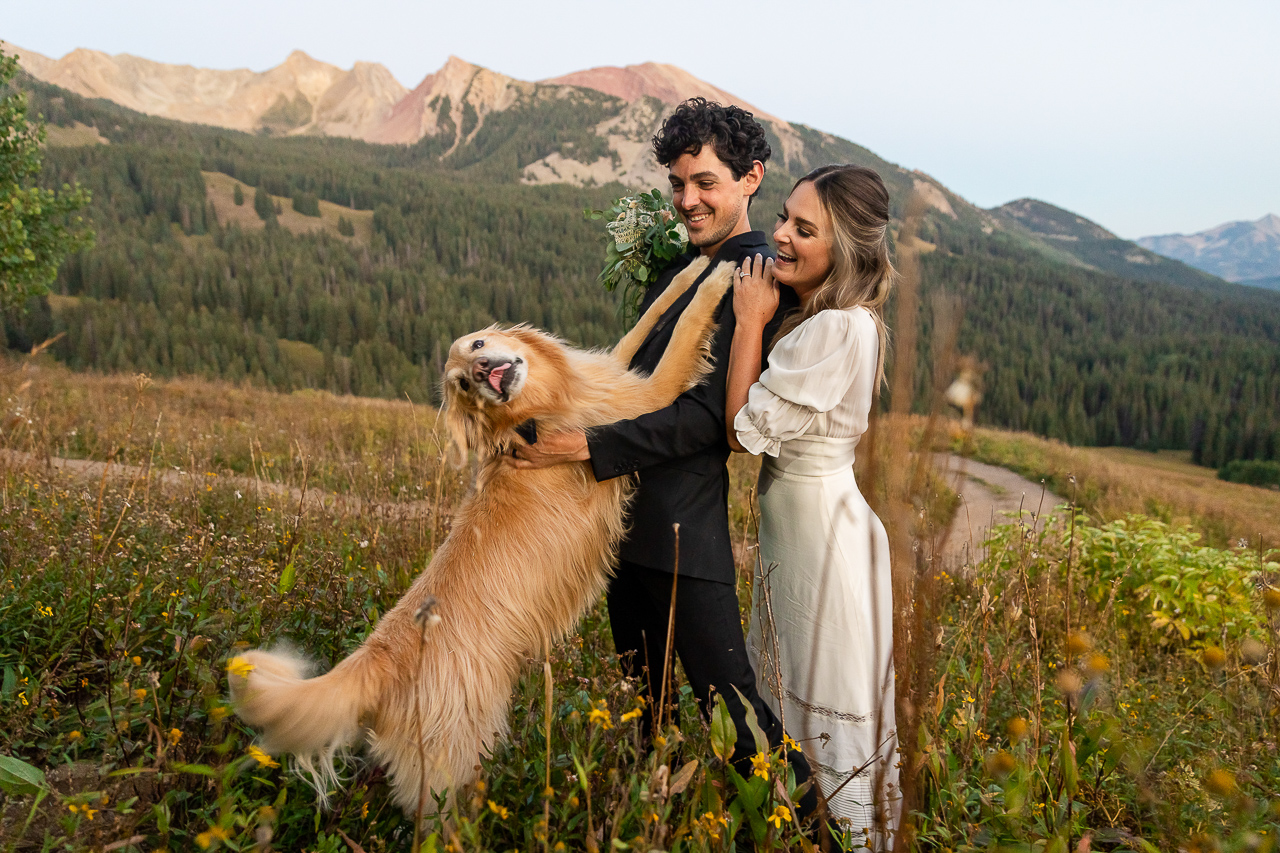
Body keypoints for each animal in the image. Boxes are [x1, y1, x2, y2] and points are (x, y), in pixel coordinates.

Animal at [226, 257, 737, 809]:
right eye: (463, 388)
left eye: (475, 346)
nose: (480, 374)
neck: (540, 407)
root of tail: (378, 658)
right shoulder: (647, 397)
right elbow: (686, 329)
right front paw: (722, 275)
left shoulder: (611, 370)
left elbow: (651, 319)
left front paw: (690, 267)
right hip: (455, 763)